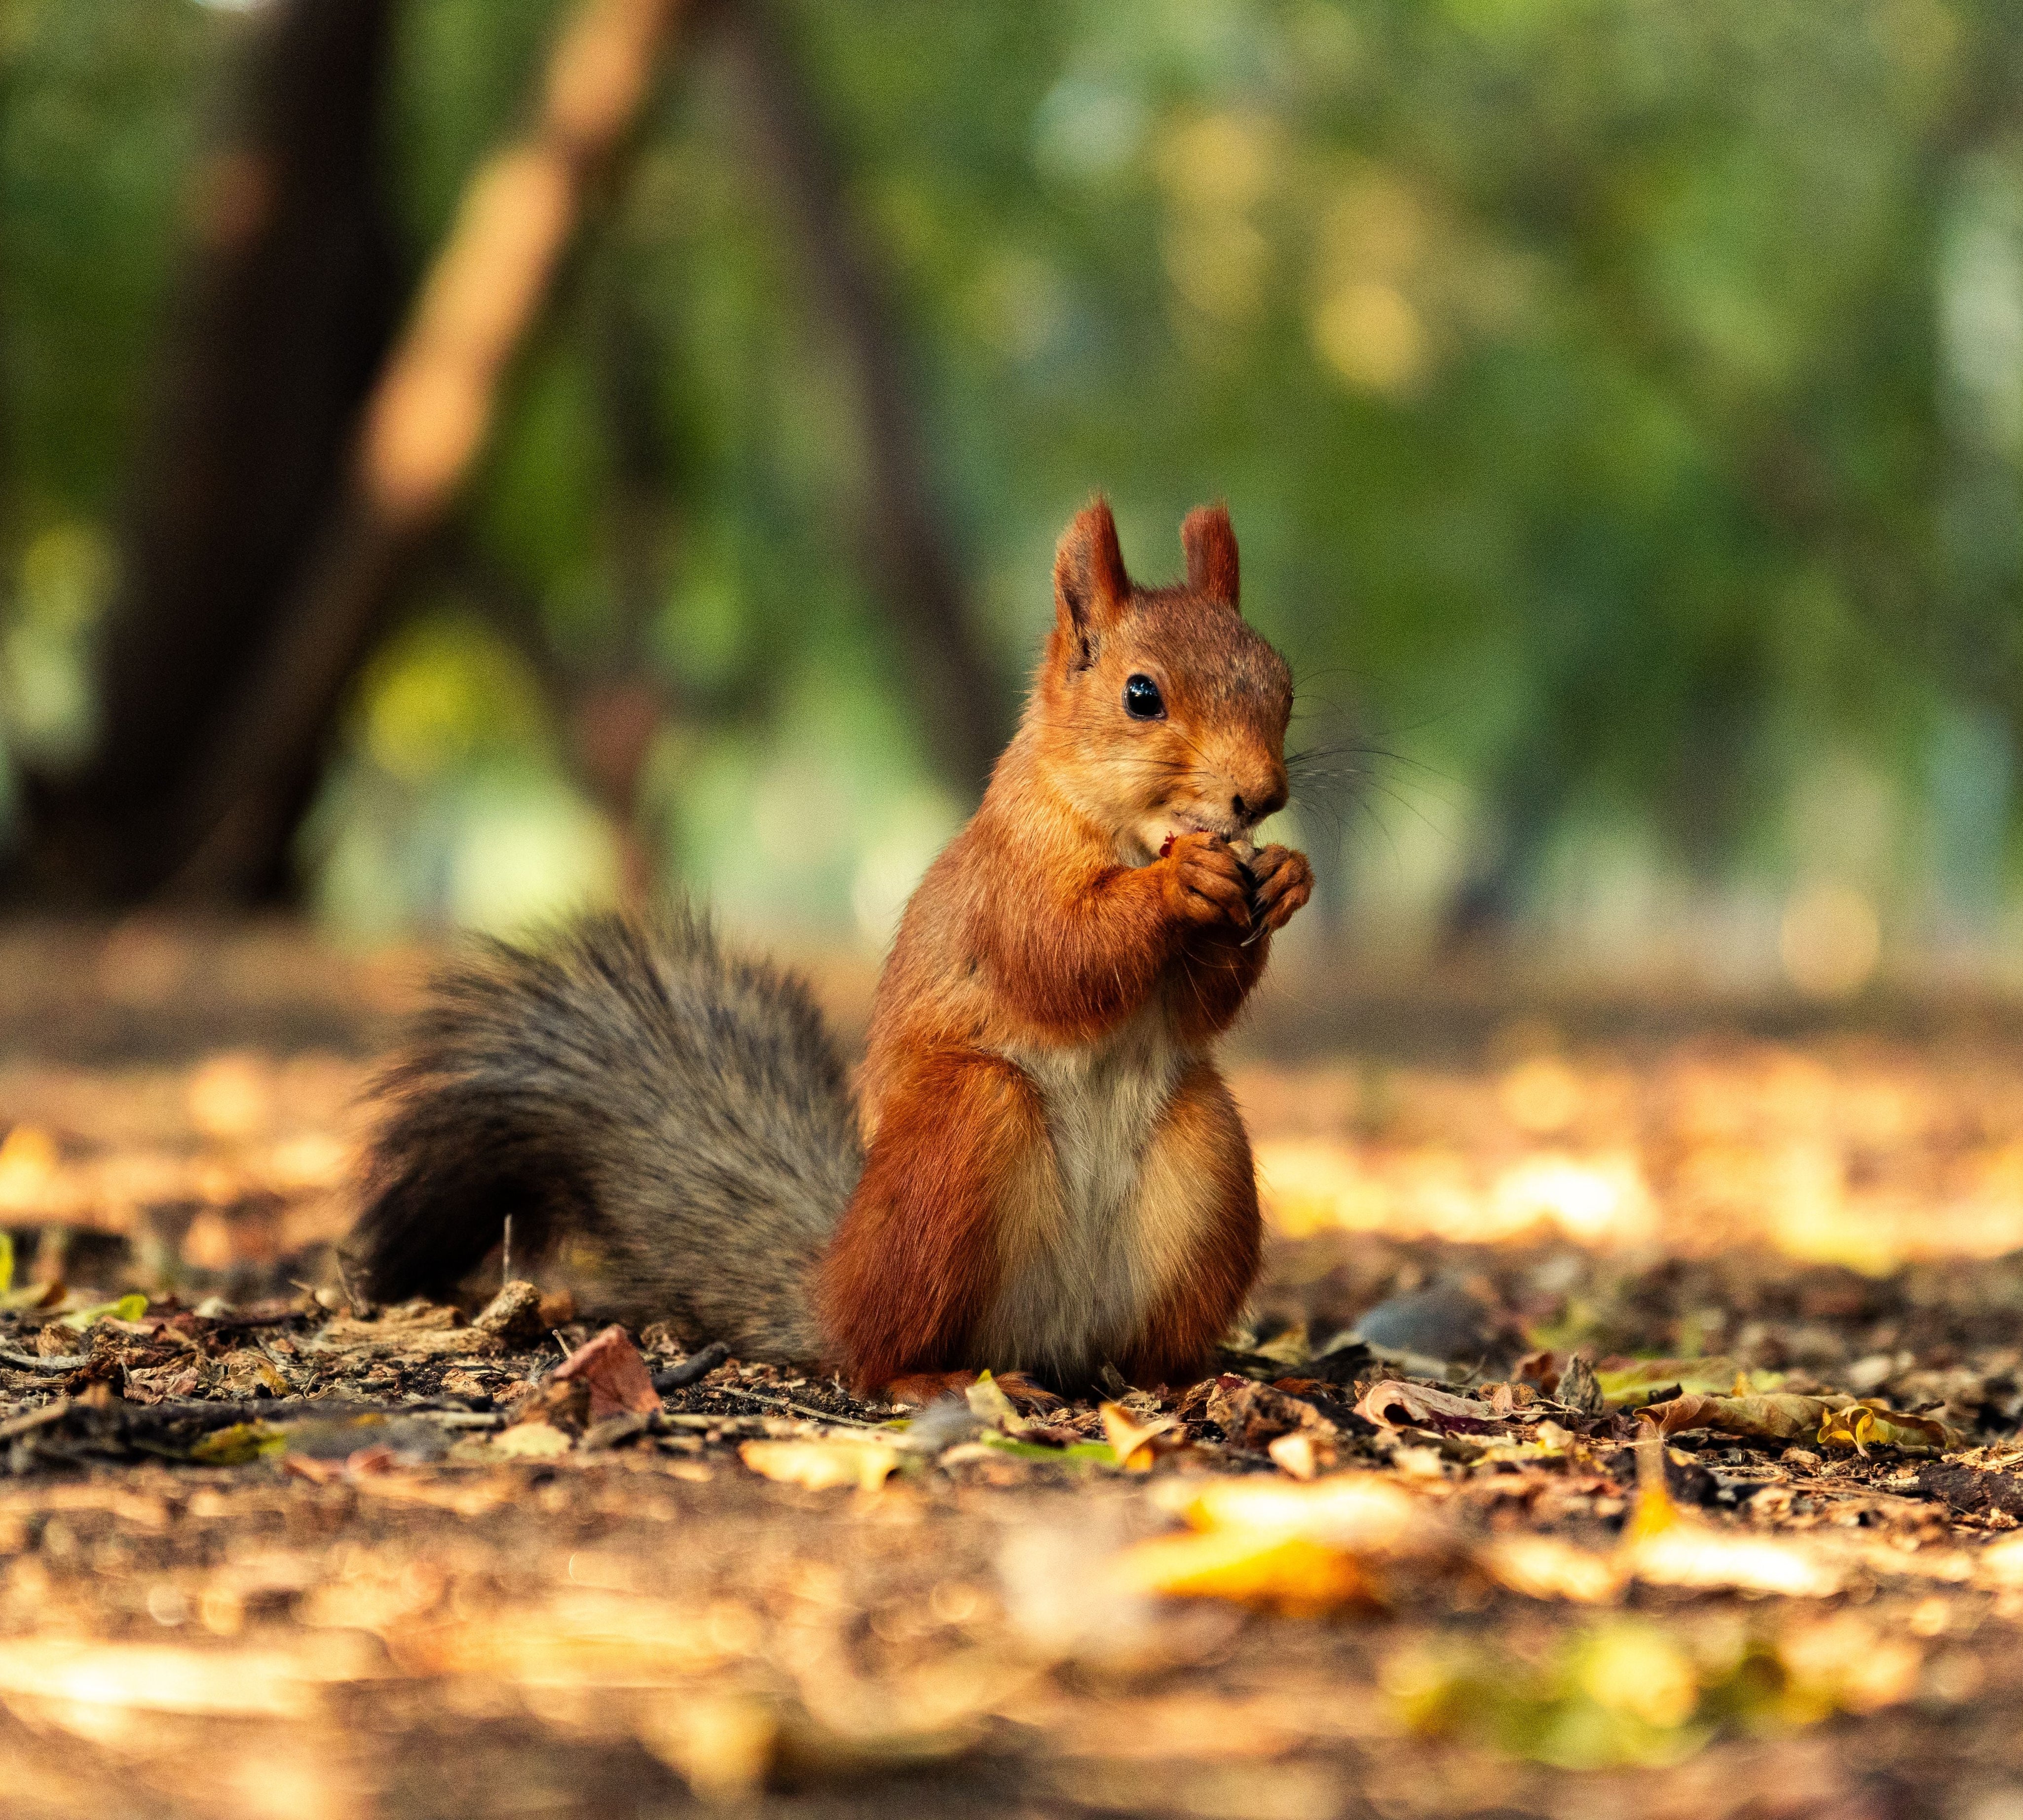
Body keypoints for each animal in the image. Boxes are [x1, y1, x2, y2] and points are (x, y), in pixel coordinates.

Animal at [349, 499, 1313, 1397]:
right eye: (1141, 695)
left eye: (1284, 680)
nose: (1262, 796)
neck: (1123, 831)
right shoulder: (1007, 884)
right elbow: (1061, 954)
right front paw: (1179, 885)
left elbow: (1201, 1001)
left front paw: (1288, 876)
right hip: (961, 1133)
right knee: (879, 1352)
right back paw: (930, 1378)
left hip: (1205, 1154)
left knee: (1143, 1333)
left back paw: (1187, 1377)